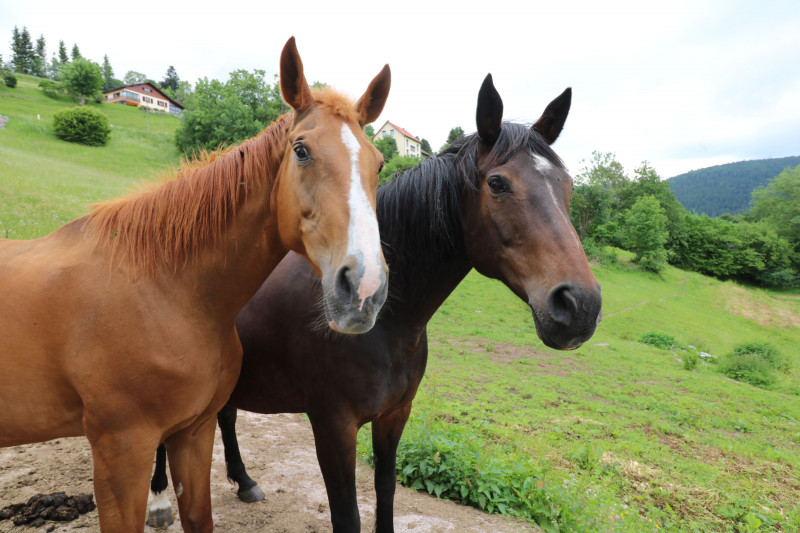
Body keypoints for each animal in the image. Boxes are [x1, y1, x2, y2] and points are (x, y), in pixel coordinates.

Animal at [0, 35, 390, 528]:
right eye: (301, 150)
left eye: (379, 164)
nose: (364, 288)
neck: (167, 292)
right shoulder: (120, 453)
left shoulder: (194, 433)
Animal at [148, 76, 600, 532]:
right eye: (498, 184)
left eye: (567, 186)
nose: (580, 305)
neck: (389, 325)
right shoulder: (333, 427)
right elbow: (347, 515)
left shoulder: (393, 416)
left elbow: (385, 493)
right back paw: (159, 500)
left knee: (226, 417)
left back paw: (243, 481)